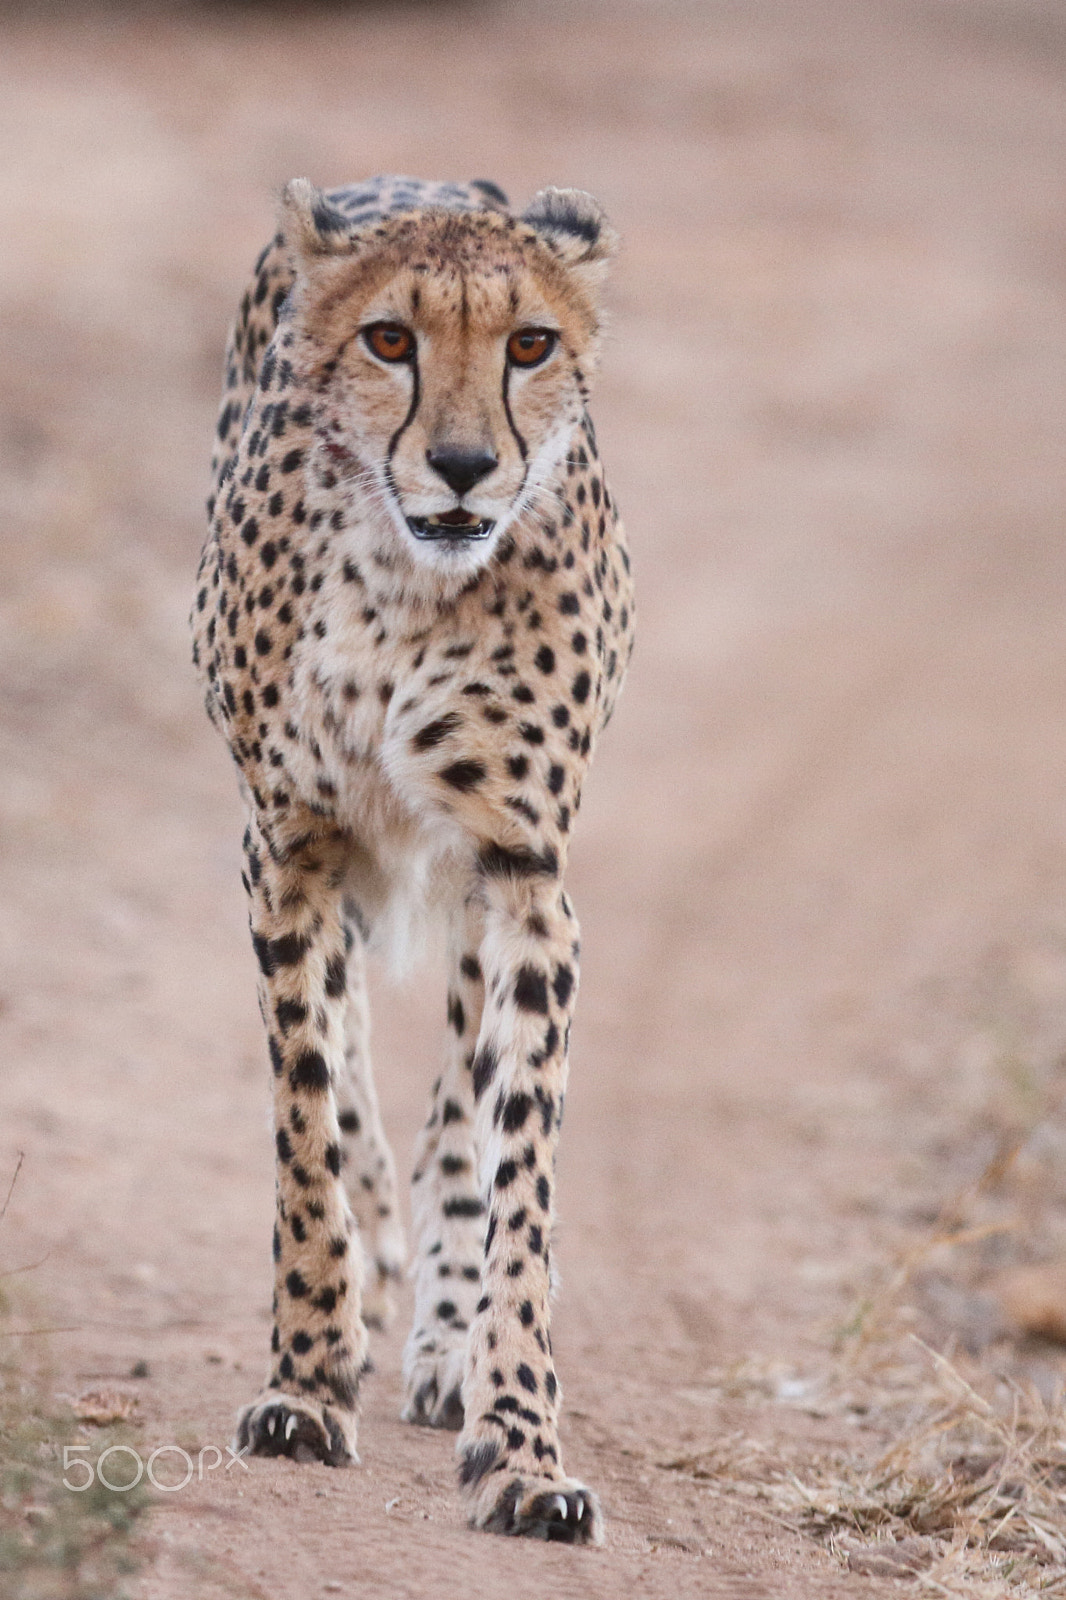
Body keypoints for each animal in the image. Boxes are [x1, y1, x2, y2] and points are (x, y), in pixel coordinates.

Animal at [191, 172, 630, 1536]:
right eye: (390, 339)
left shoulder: (524, 880)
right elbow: (306, 1125)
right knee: (348, 1065)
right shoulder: (290, 846)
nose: (464, 466)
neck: (407, 589)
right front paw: (305, 1379)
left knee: (449, 1109)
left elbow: (515, 1175)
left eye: (528, 345)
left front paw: (521, 1441)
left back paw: (441, 1337)